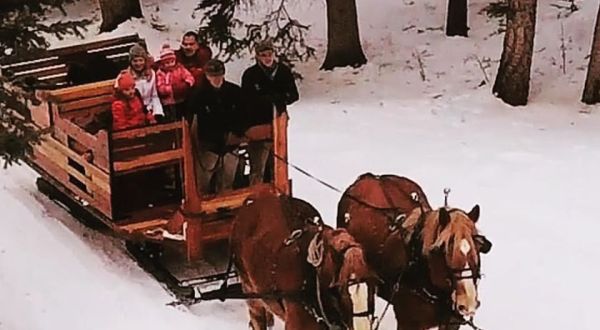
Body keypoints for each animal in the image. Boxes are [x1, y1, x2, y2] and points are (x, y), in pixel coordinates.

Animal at [336, 174, 490, 328]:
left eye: (478, 245)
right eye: (444, 250)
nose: (467, 302)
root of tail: (371, 177)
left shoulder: (452, 323)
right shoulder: (408, 322)